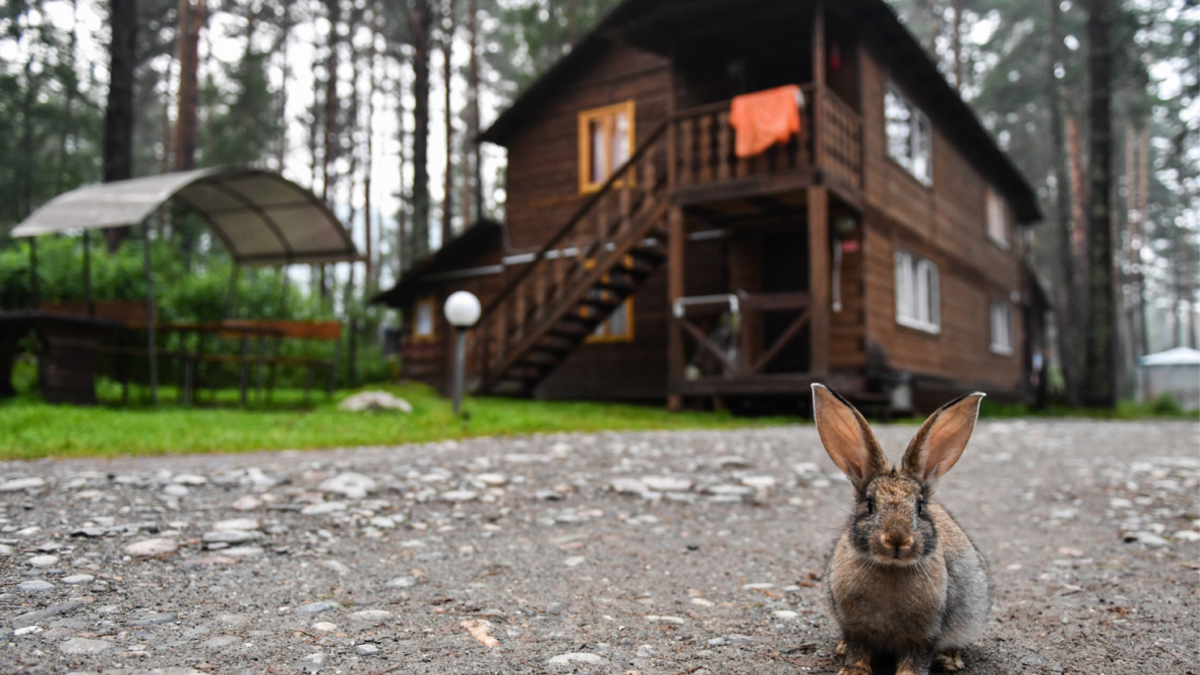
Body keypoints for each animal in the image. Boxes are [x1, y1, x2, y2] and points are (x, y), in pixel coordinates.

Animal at [811, 384, 988, 672]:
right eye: (869, 505)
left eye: (920, 507)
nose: (896, 539)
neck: (890, 567)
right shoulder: (855, 628)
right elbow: (857, 649)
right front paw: (852, 671)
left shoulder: (925, 634)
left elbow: (916, 658)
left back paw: (950, 659)